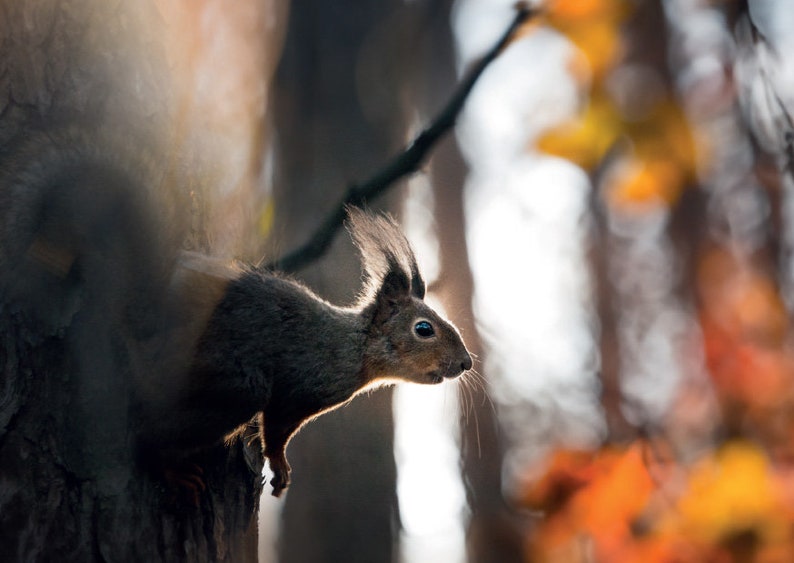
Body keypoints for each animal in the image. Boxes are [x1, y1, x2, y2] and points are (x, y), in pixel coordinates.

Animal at [0, 126, 470, 498]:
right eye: (424, 328)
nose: (466, 363)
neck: (352, 347)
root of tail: (149, 323)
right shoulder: (298, 388)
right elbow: (275, 432)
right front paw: (280, 468)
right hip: (230, 384)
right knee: (152, 435)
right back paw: (171, 468)